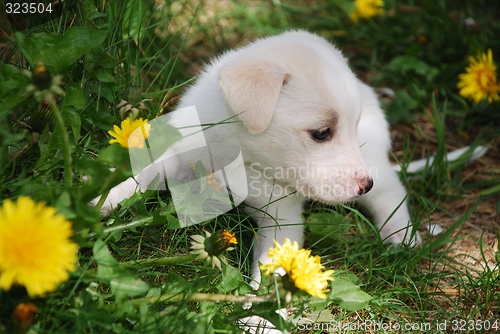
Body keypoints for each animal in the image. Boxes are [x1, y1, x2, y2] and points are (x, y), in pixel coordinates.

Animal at [92, 30, 420, 330]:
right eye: (321, 133)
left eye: (350, 126)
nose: (364, 184)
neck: (244, 157)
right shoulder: (181, 153)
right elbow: (144, 172)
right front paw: (105, 200)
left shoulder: (281, 219)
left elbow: (274, 270)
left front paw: (261, 318)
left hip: (375, 163)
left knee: (391, 194)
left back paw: (401, 237)